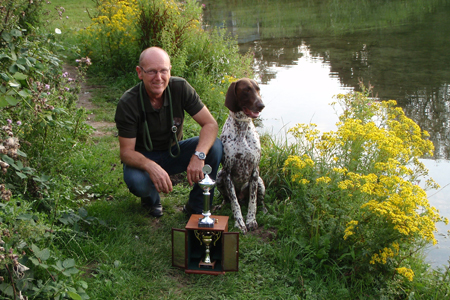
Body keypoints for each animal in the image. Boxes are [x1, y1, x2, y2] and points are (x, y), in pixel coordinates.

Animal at [216, 78, 266, 234]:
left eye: (258, 89)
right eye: (246, 90)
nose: (261, 105)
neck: (242, 129)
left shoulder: (255, 172)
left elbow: (253, 202)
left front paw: (251, 220)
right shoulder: (227, 173)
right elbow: (234, 203)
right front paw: (239, 223)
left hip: (261, 182)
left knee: (260, 200)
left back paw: (264, 210)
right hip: (219, 177)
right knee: (227, 199)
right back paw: (221, 205)